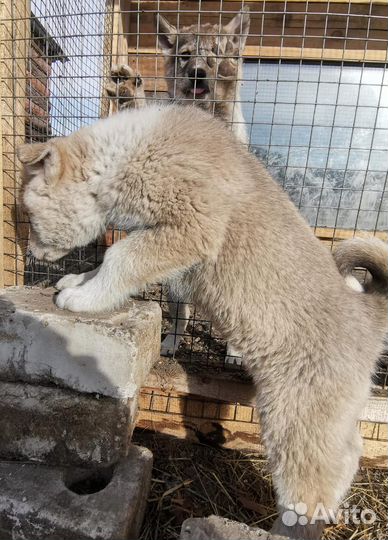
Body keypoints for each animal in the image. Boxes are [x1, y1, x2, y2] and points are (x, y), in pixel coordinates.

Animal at [18, 103, 388, 536]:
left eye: (30, 214)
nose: (33, 254)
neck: (124, 156)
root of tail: (367, 312)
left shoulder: (188, 229)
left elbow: (118, 257)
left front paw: (84, 297)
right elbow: (112, 263)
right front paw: (80, 280)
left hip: (297, 416)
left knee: (310, 489)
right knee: (348, 457)